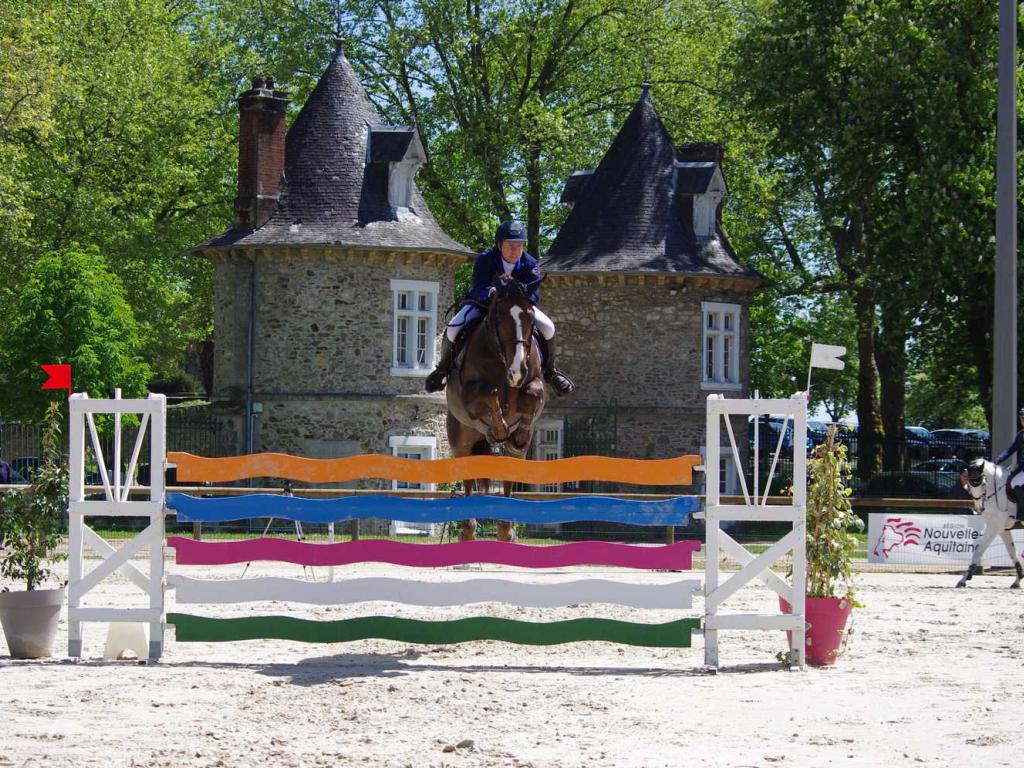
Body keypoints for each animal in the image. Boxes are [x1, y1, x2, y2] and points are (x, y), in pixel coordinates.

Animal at [444, 274, 548, 540]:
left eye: (530, 316)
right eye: (500, 316)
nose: (517, 370)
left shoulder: (535, 383)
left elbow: (532, 394)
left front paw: (517, 433)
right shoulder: (469, 395)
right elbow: (489, 394)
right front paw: (499, 429)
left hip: (515, 457)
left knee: (509, 478)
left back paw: (505, 527)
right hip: (462, 443)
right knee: (468, 484)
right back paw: (468, 528)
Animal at [954, 460, 1019, 593]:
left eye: (984, 483)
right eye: (969, 484)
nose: (980, 508)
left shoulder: (994, 526)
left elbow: (978, 551)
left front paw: (964, 579)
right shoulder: (1002, 529)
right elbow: (1012, 552)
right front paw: (1017, 581)